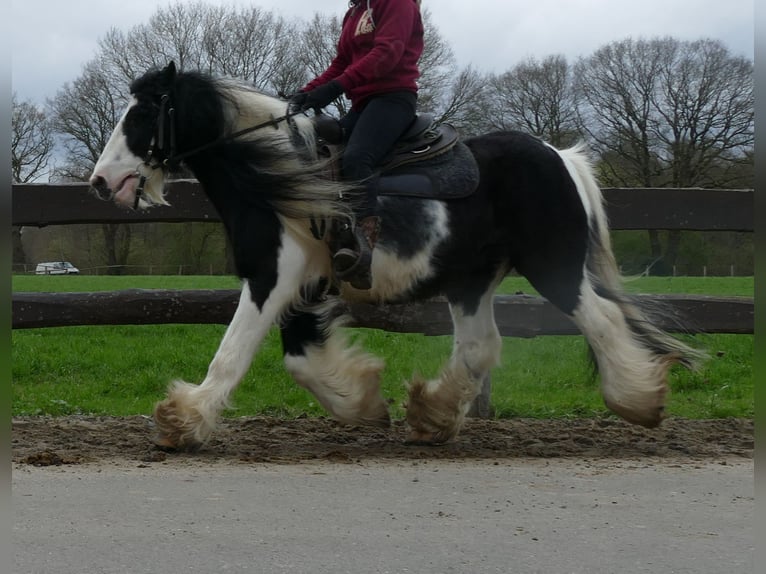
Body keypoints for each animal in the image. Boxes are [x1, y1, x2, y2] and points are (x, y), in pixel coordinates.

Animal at [88, 63, 704, 450]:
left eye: (140, 115)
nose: (101, 182)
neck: (278, 174)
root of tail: (561, 157)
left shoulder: (273, 276)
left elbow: (233, 352)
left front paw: (182, 421)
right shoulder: (307, 285)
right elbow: (301, 357)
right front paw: (362, 402)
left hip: (553, 267)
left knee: (601, 320)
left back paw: (639, 400)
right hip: (471, 279)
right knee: (481, 346)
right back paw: (432, 415)